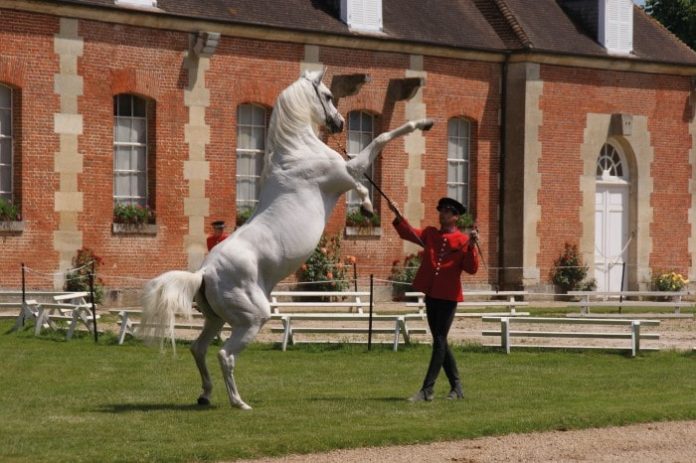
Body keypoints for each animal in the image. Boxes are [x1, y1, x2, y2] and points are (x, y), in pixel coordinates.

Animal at [141, 69, 432, 410]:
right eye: (328, 96)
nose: (339, 123)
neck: (297, 153)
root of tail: (204, 272)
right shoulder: (346, 173)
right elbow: (378, 144)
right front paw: (370, 202)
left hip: (216, 319)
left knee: (198, 349)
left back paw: (206, 395)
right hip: (251, 319)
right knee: (225, 355)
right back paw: (239, 402)